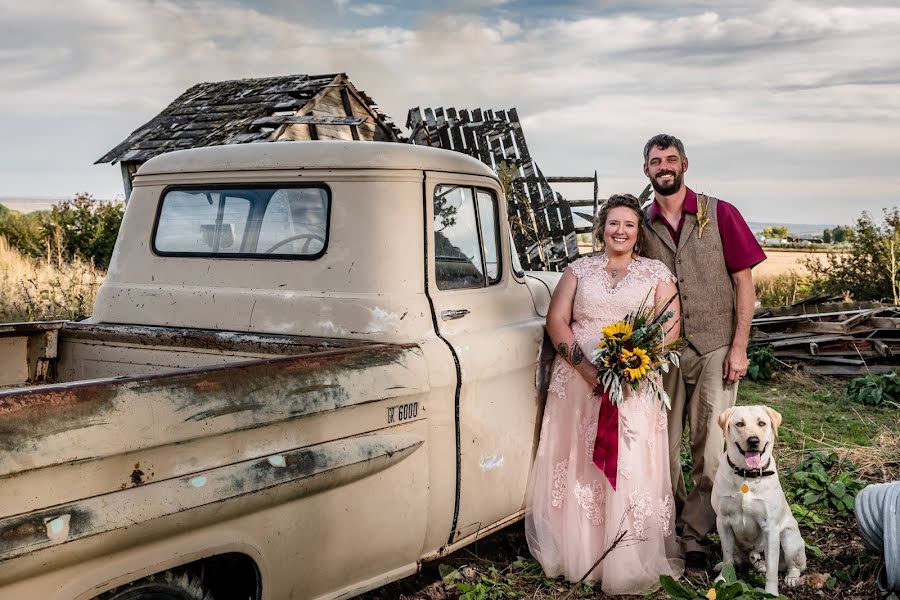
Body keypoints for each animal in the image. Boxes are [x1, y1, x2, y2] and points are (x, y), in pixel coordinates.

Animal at [712, 404, 808, 596]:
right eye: (739, 424)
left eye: (762, 423)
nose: (753, 441)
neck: (747, 475)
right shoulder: (723, 522)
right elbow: (727, 555)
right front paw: (723, 578)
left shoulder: (770, 527)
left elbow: (772, 570)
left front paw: (771, 593)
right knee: (737, 558)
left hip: (788, 538)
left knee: (794, 566)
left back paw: (792, 578)